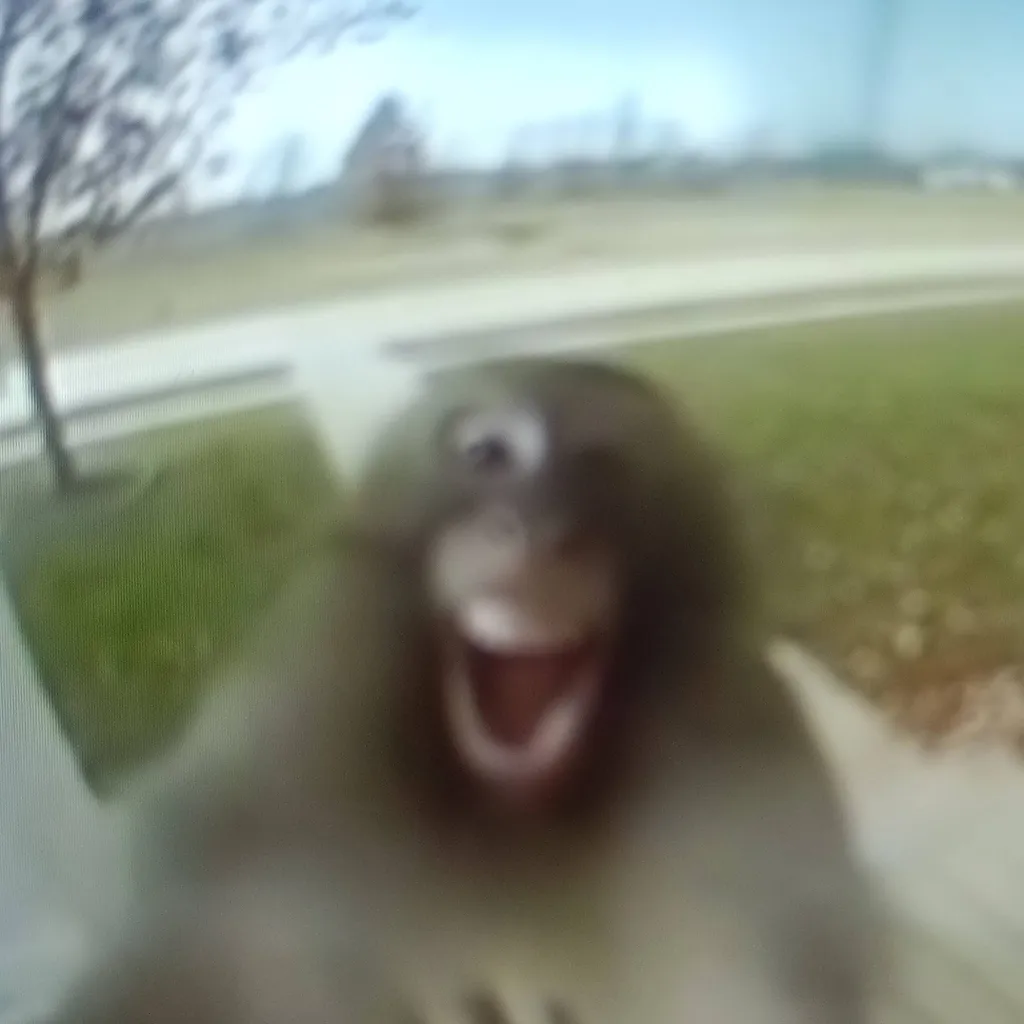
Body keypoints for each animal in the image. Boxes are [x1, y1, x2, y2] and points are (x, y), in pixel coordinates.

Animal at [55, 356, 877, 1024]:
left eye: (602, 464)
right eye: (487, 453)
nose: (541, 529)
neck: (507, 818)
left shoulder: (734, 767)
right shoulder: (281, 762)